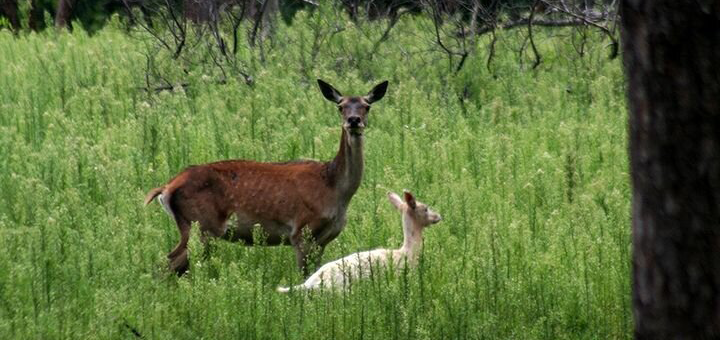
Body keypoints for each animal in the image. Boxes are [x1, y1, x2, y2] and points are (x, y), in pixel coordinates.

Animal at [145, 79, 388, 274]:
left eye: (367, 106)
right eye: (340, 106)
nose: (354, 120)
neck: (334, 187)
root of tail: (166, 188)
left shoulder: (323, 240)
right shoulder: (301, 231)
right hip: (201, 225)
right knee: (167, 264)